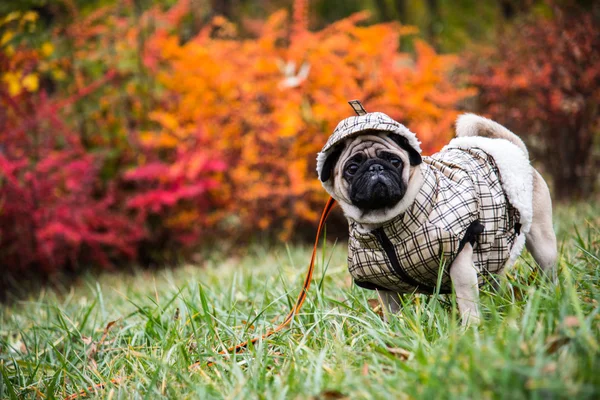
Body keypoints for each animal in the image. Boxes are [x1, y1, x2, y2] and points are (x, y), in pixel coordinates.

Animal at [316, 104, 556, 324]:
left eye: (394, 161)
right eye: (352, 168)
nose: (376, 168)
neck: (384, 225)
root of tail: (514, 149)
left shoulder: (460, 260)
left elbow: (467, 301)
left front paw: (471, 329)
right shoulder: (382, 283)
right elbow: (391, 312)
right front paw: (393, 331)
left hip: (542, 243)